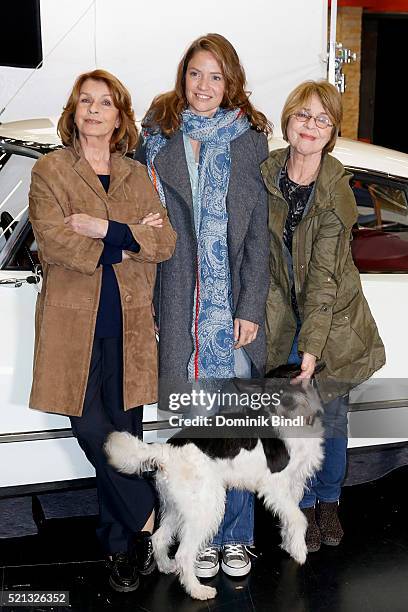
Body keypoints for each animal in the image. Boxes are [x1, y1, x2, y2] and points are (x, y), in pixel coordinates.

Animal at [105, 366, 326, 600]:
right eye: (272, 391)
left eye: (290, 379)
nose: (288, 404)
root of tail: (166, 450)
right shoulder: (275, 486)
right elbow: (299, 518)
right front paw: (300, 551)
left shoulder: (293, 486)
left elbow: (289, 519)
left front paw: (289, 544)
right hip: (206, 507)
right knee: (184, 554)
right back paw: (197, 590)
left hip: (179, 507)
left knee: (158, 538)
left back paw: (166, 566)